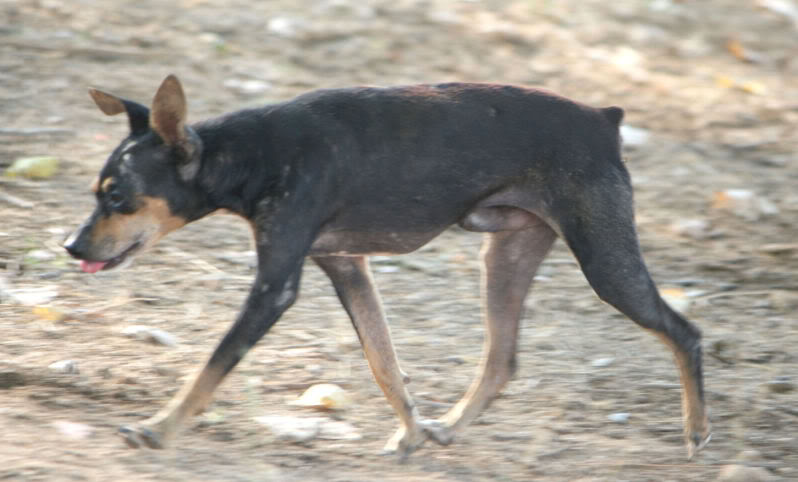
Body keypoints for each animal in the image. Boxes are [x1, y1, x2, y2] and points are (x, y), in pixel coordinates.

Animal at [64, 74, 712, 460]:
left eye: (118, 197)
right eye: (98, 193)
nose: (71, 246)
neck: (253, 154)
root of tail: (606, 118)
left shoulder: (275, 288)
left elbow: (212, 366)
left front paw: (159, 427)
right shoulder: (346, 266)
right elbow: (385, 364)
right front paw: (412, 433)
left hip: (606, 265)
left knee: (684, 331)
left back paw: (696, 429)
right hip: (506, 257)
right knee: (501, 360)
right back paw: (449, 426)